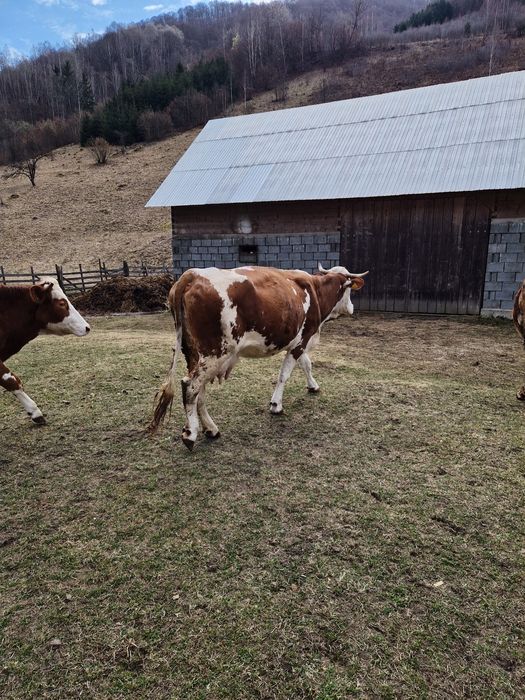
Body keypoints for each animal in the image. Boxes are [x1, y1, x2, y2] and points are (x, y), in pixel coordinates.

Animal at [149, 263, 367, 449]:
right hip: (214, 353)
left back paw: (210, 429)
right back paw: (191, 434)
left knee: (199, 390)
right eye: (349, 290)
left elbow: (306, 364)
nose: (352, 308)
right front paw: (276, 405)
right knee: (190, 386)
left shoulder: (298, 342)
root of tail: (192, 275)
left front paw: (313, 386)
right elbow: (284, 375)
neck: (316, 290)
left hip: (195, 354)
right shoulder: (302, 340)